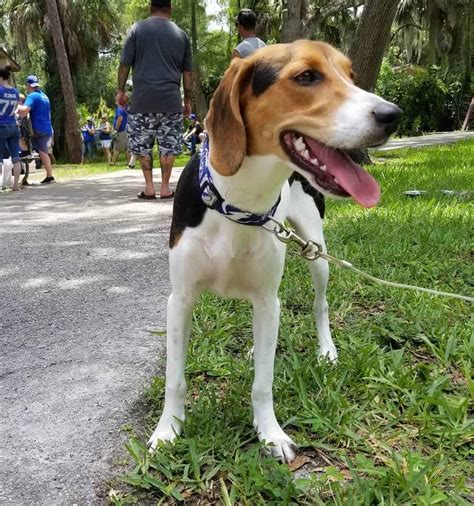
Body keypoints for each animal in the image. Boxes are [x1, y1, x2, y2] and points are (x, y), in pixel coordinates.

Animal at [149, 40, 400, 462]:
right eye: (306, 76)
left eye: (351, 77)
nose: (393, 115)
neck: (239, 202)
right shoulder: (179, 299)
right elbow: (175, 379)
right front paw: (168, 431)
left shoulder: (269, 299)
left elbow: (262, 384)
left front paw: (270, 434)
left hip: (316, 253)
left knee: (320, 305)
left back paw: (326, 350)